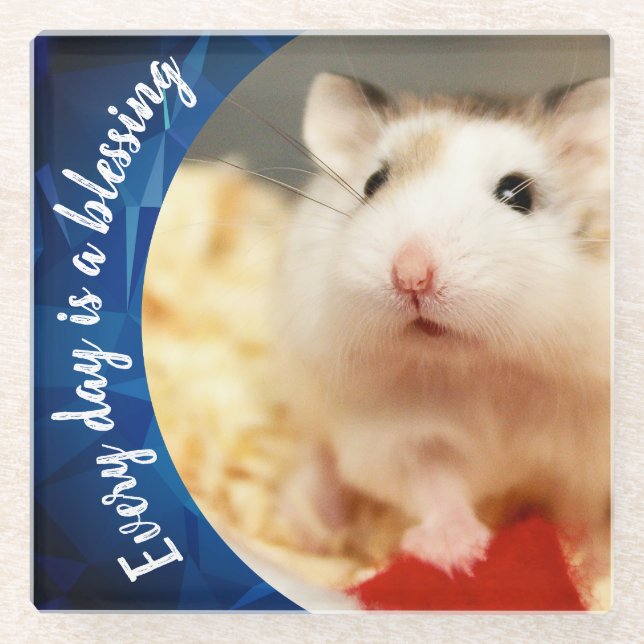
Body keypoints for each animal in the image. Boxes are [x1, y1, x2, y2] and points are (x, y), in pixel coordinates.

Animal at [274, 73, 611, 578]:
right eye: (373, 183)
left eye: (518, 194)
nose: (410, 275)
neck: (480, 365)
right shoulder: (400, 438)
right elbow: (434, 488)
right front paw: (457, 554)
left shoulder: (585, 457)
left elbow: (577, 511)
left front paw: (588, 561)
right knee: (320, 454)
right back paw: (309, 524)